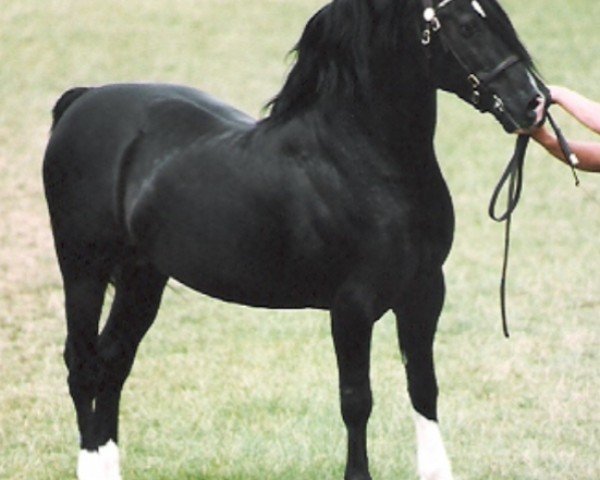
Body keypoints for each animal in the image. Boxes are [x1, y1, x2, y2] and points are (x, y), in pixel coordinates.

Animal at [42, 0, 548, 480]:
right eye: (466, 26)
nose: (533, 104)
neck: (360, 160)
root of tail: (83, 100)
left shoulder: (424, 292)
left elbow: (423, 387)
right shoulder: (352, 306)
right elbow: (356, 400)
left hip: (142, 277)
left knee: (113, 361)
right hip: (83, 271)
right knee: (83, 366)